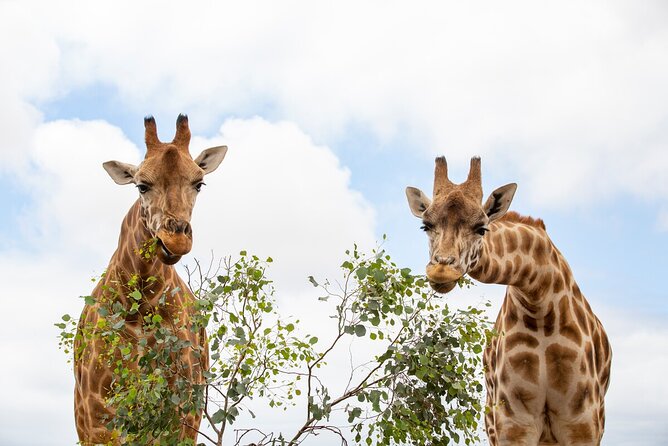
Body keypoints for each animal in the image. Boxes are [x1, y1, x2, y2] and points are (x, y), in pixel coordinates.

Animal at [72, 114, 226, 442]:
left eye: (199, 183)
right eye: (141, 186)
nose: (175, 240)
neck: (142, 305)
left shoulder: (180, 415)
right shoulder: (97, 417)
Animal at [404, 156, 612, 442]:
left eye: (481, 229)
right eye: (426, 226)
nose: (441, 270)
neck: (539, 301)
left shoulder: (582, 423)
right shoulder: (513, 423)